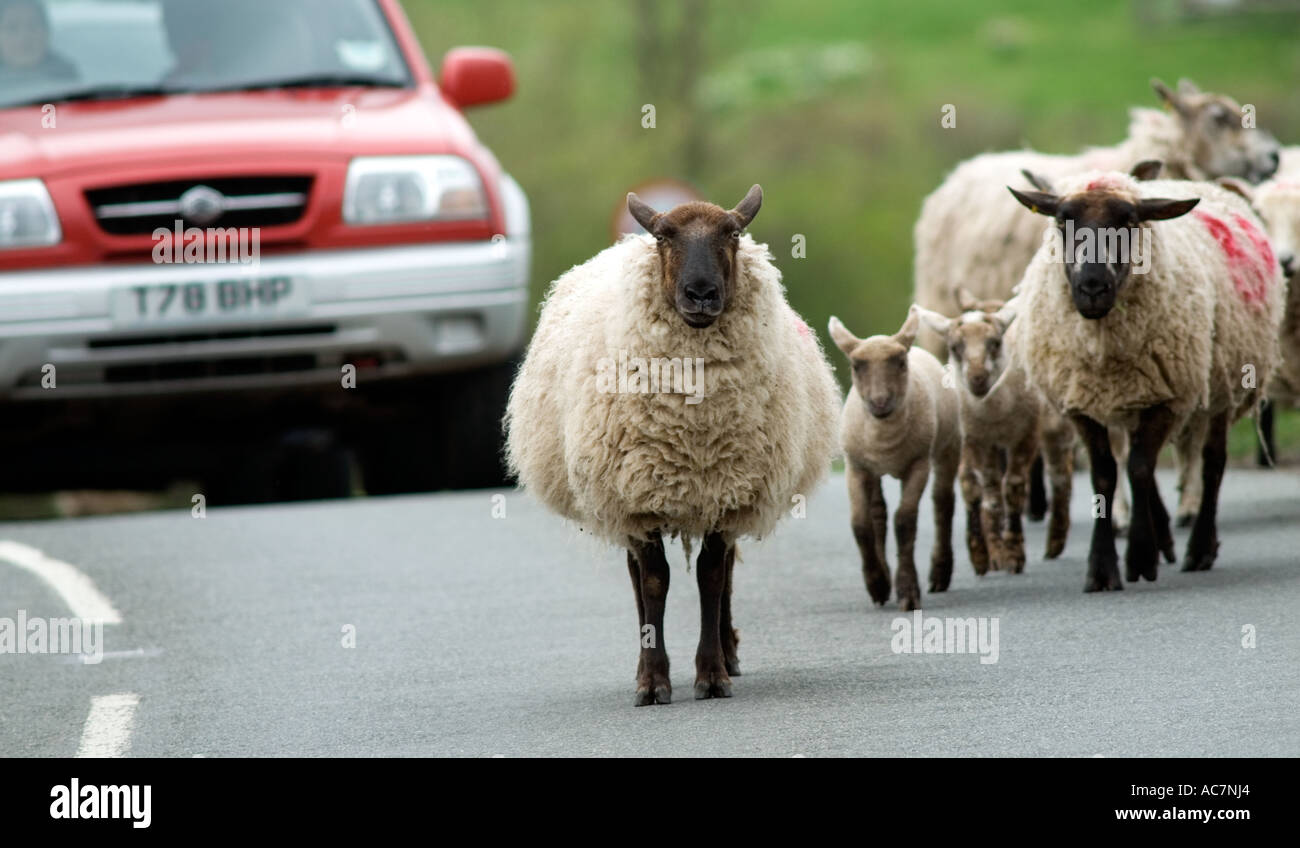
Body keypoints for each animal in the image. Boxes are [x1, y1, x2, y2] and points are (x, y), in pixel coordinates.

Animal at [501, 187, 837, 707]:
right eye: (663, 237)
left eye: (733, 233)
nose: (701, 294)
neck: (692, 426)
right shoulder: (639, 497)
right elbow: (655, 582)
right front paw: (652, 680)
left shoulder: (725, 489)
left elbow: (712, 576)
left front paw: (712, 674)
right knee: (638, 577)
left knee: (725, 572)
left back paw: (729, 653)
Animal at [826, 308, 961, 613]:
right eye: (856, 365)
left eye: (900, 362)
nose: (879, 402)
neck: (884, 440)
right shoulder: (856, 467)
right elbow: (860, 524)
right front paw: (877, 583)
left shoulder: (918, 464)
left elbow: (905, 521)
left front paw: (907, 591)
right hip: (874, 469)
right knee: (878, 513)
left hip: (948, 446)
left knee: (943, 503)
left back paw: (940, 573)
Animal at [909, 291, 1071, 577]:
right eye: (955, 347)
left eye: (995, 343)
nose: (977, 378)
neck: (993, 412)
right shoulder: (975, 439)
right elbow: (990, 491)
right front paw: (993, 553)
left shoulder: (1025, 435)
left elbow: (1013, 487)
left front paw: (1014, 553)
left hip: (1053, 423)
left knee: (1060, 474)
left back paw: (1055, 542)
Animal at [1003, 167, 1279, 585]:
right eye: (1062, 220)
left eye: (1130, 222)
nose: (1092, 286)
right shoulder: (1082, 405)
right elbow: (1105, 475)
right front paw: (1102, 568)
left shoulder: (1166, 398)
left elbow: (1139, 468)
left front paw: (1140, 557)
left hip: (1224, 384)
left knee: (1212, 462)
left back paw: (1199, 549)